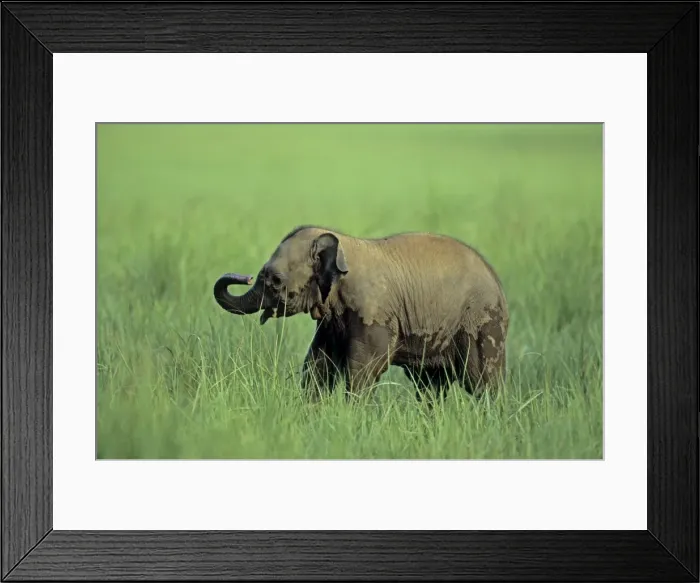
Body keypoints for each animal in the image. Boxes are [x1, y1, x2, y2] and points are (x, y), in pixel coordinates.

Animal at [214, 225, 509, 401]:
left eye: (274, 280)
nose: (245, 278)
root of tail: (498, 283)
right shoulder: (331, 322)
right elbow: (317, 365)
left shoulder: (374, 315)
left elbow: (364, 368)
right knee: (429, 386)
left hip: (482, 324)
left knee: (482, 383)